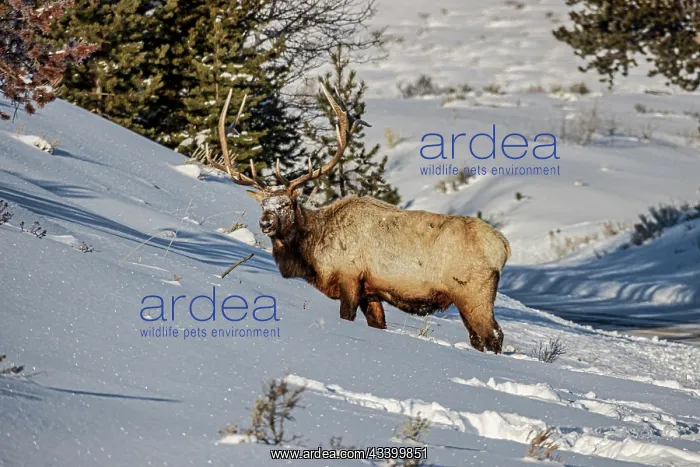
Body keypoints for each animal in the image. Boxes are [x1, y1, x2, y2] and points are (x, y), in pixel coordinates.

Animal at [206, 85, 511, 354]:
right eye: (263, 205)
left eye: (286, 204)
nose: (266, 223)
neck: (314, 255)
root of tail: (503, 247)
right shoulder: (371, 291)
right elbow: (378, 324)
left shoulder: (350, 277)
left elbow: (346, 317)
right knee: (478, 338)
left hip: (474, 291)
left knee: (494, 335)